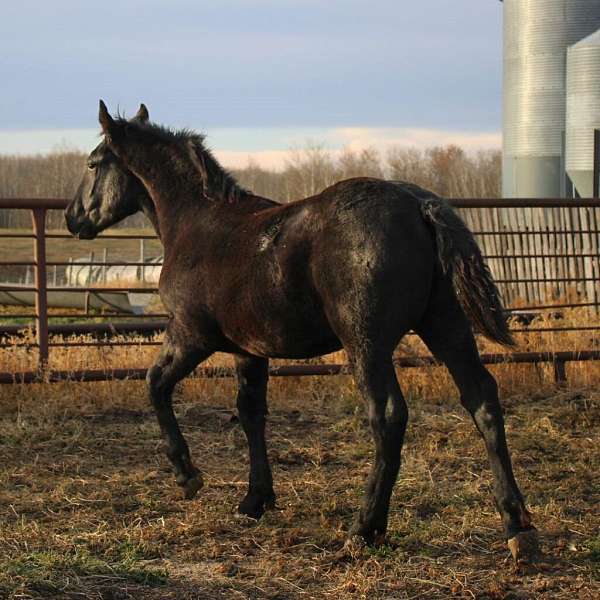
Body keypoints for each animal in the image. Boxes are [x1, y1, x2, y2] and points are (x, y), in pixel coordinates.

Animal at [64, 103, 540, 564]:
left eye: (92, 163)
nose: (72, 219)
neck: (198, 225)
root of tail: (418, 205)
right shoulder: (249, 350)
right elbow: (250, 413)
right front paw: (255, 499)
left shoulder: (190, 335)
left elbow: (155, 385)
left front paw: (187, 475)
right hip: (447, 327)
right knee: (482, 400)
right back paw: (518, 528)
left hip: (367, 344)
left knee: (388, 416)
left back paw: (365, 528)